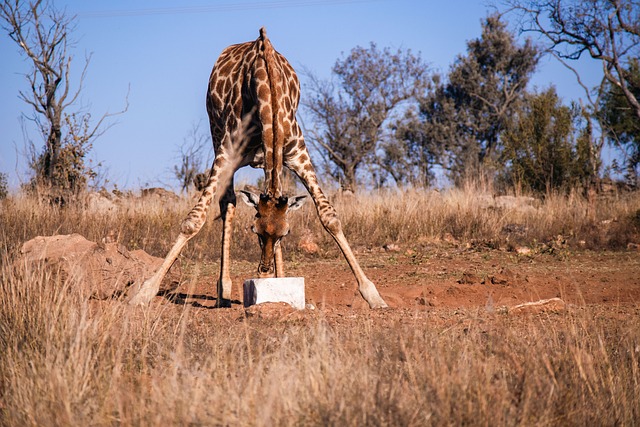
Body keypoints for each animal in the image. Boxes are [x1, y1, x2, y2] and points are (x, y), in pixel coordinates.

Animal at [125, 27, 384, 308]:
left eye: (285, 233)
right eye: (254, 231)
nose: (264, 269)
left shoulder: (298, 154)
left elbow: (330, 217)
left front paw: (373, 295)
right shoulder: (226, 154)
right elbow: (194, 220)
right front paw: (143, 293)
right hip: (217, 137)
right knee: (228, 203)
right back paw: (224, 290)